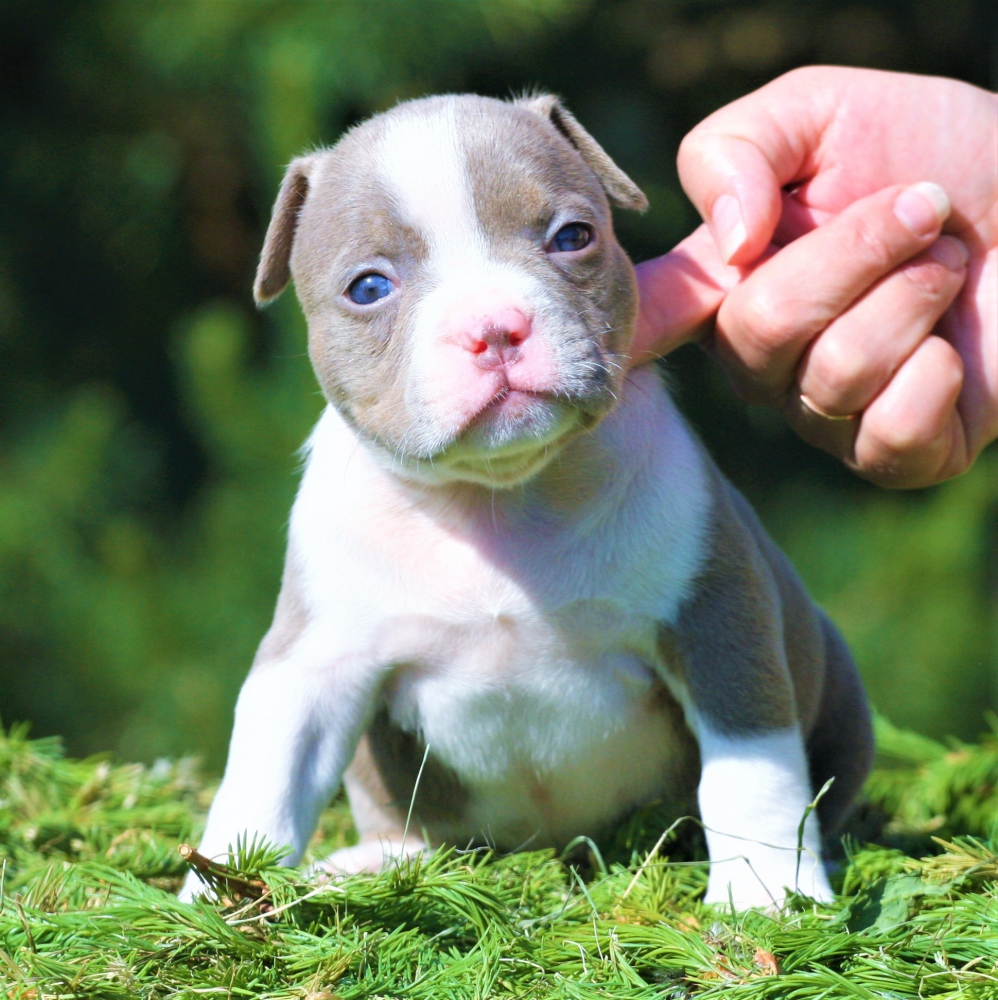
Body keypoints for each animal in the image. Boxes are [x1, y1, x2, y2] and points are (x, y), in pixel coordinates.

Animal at [180, 93, 873, 908]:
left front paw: (768, 898)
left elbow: (751, 770)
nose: (493, 327)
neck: (500, 498)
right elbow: (265, 779)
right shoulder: (313, 662)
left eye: (572, 237)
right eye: (369, 288)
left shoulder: (717, 620)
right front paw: (217, 895)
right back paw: (375, 862)